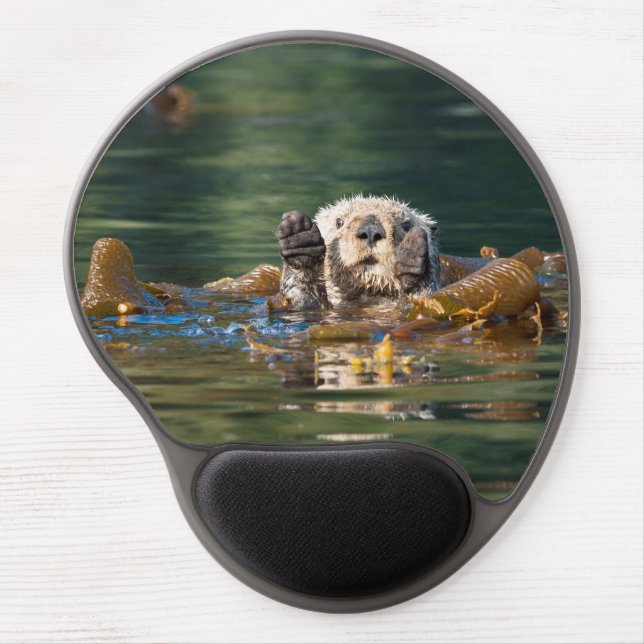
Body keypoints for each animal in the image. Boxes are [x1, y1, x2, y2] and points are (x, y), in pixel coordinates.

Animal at [276, 195, 440, 310]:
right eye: (339, 222)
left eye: (406, 224)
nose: (371, 229)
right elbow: (302, 296)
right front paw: (300, 239)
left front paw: (412, 256)